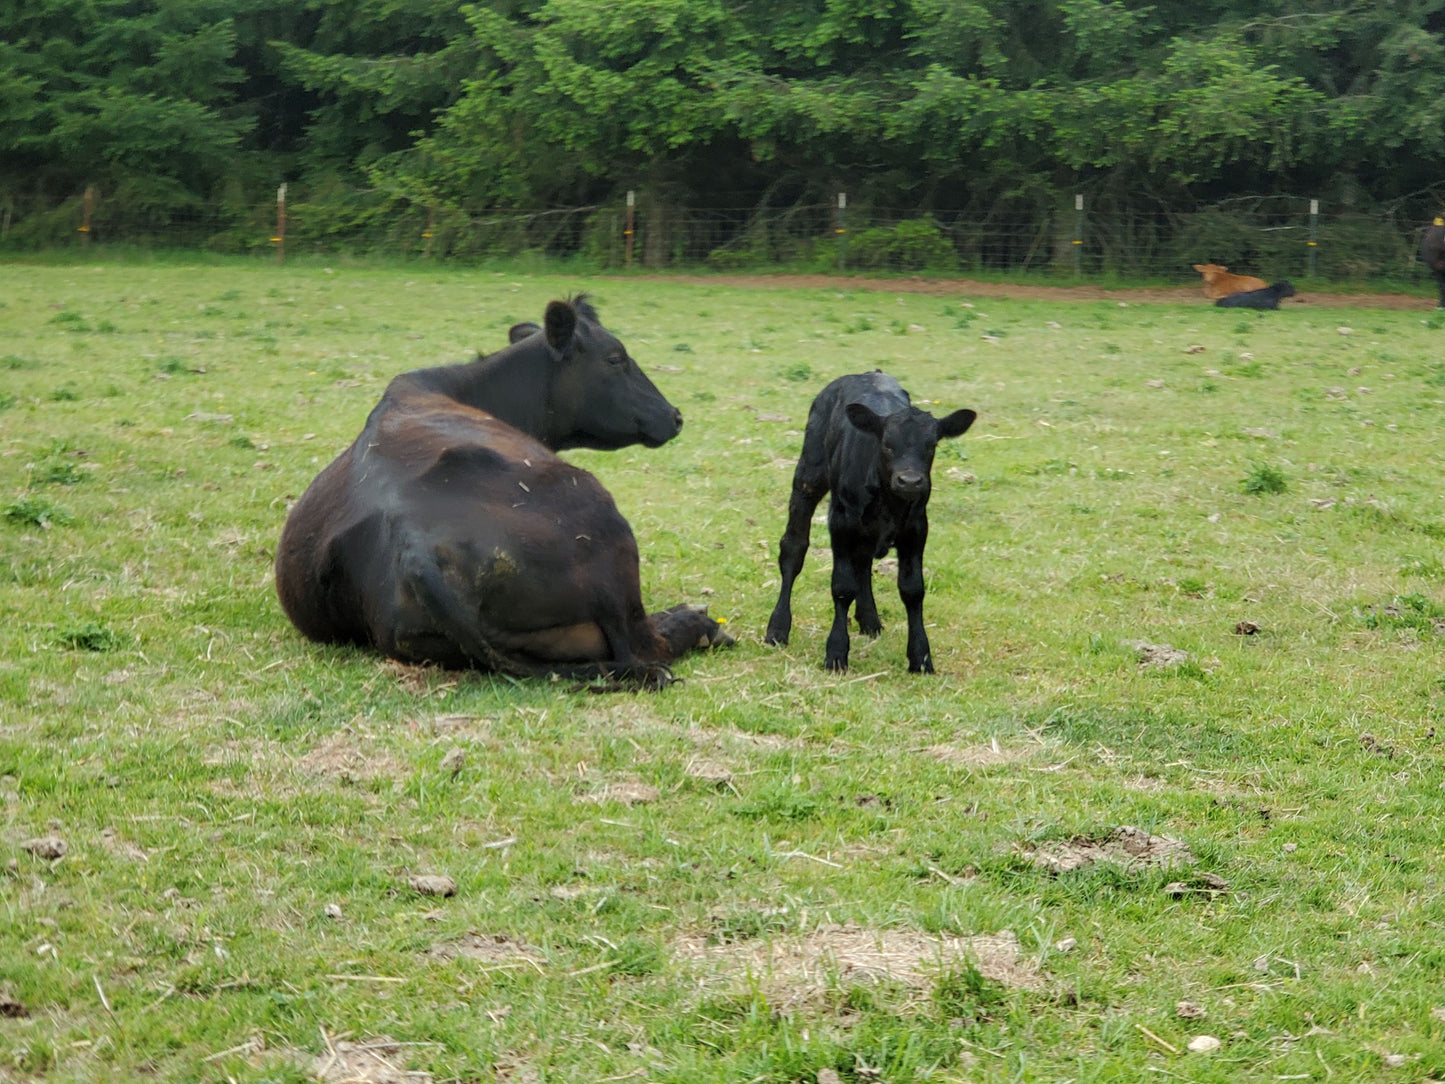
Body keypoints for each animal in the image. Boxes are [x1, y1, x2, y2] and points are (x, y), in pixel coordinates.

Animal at [275, 294, 734, 687]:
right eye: (615, 357)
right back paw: (699, 623)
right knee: (645, 643)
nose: (674, 416)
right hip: (608, 530)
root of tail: (416, 550)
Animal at [762, 378, 976, 676]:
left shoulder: (916, 529)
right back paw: (778, 628)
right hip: (809, 475)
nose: (909, 481)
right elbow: (842, 586)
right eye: (887, 444)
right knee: (793, 549)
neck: (888, 503)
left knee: (862, 563)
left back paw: (870, 621)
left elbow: (912, 589)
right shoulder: (841, 522)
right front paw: (836, 654)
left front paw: (920, 657)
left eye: (931, 445)